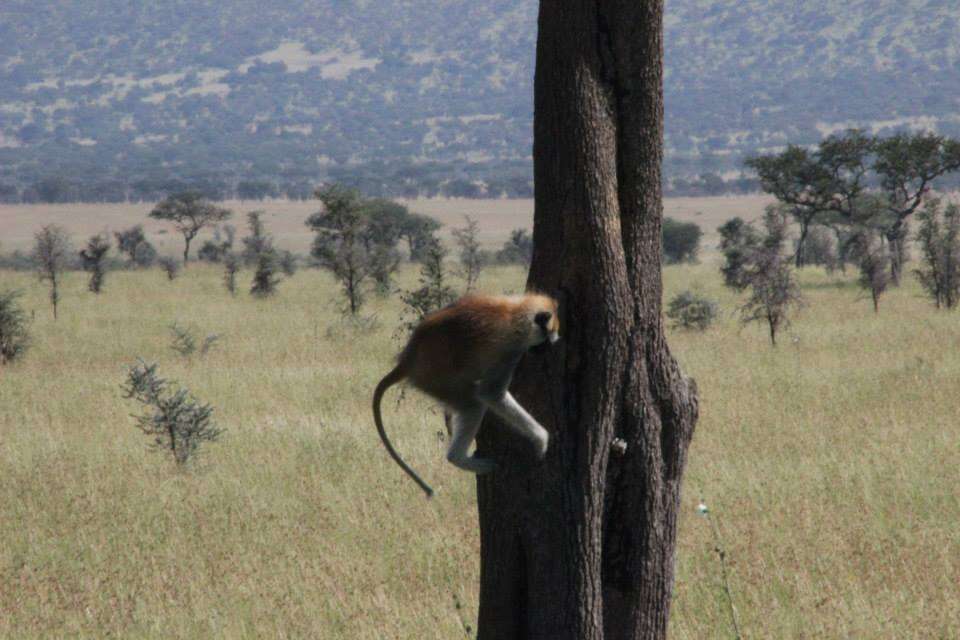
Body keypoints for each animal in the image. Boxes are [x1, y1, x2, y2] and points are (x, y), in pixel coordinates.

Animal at [372, 292, 560, 498]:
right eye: (545, 340)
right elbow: (491, 393)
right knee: (473, 404)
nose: (545, 350)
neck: (516, 312)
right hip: (435, 380)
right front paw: (541, 438)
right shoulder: (510, 351)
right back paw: (457, 458)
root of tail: (407, 361)